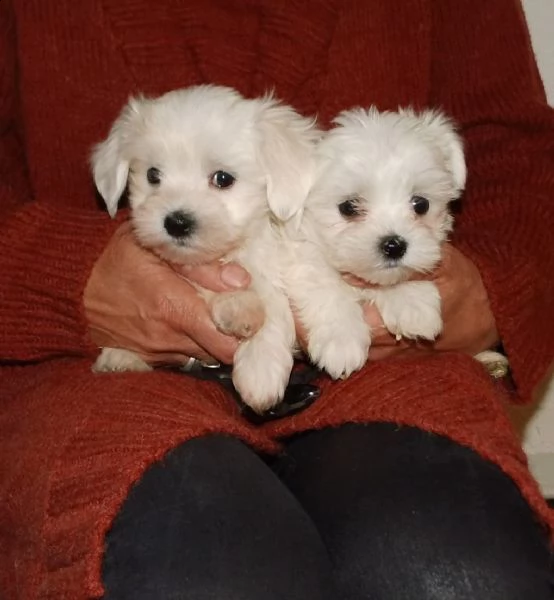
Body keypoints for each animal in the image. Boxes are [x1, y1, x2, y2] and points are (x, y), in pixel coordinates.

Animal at [88, 84, 316, 412]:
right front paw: (120, 353)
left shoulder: (271, 265)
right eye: (153, 175)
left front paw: (259, 371)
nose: (176, 222)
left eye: (223, 178)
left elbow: (271, 304)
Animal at [284, 106, 504, 380]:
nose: (394, 245)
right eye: (348, 207)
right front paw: (341, 340)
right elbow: (322, 282)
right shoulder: (297, 254)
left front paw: (412, 303)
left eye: (421, 204)